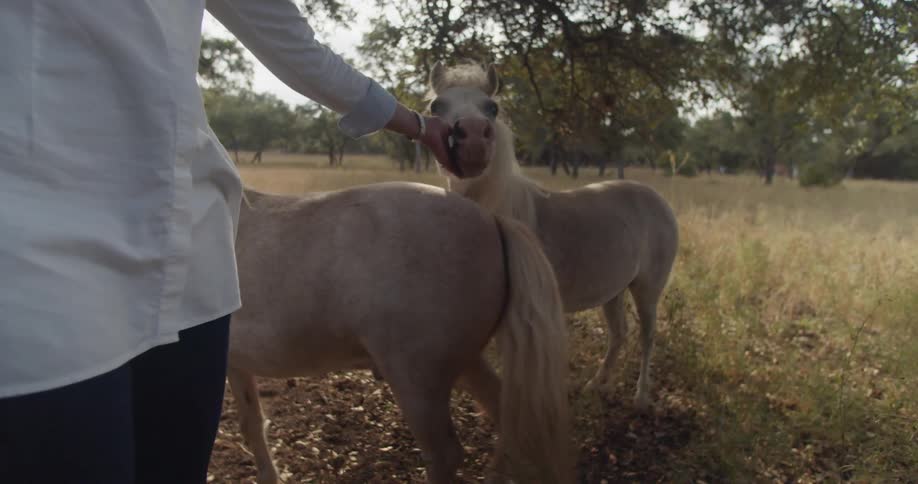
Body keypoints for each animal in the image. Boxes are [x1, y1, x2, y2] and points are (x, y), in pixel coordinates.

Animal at [228, 182, 571, 484]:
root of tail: (492, 220)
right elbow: (251, 424)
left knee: (445, 455)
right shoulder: (236, 365)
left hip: (416, 380)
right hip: (467, 365)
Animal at [426, 61, 679, 410]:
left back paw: (640, 398)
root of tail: (657, 199)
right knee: (619, 334)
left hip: (647, 289)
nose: (474, 140)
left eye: (492, 108)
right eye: (436, 107)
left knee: (647, 336)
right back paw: (596, 385)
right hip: (613, 290)